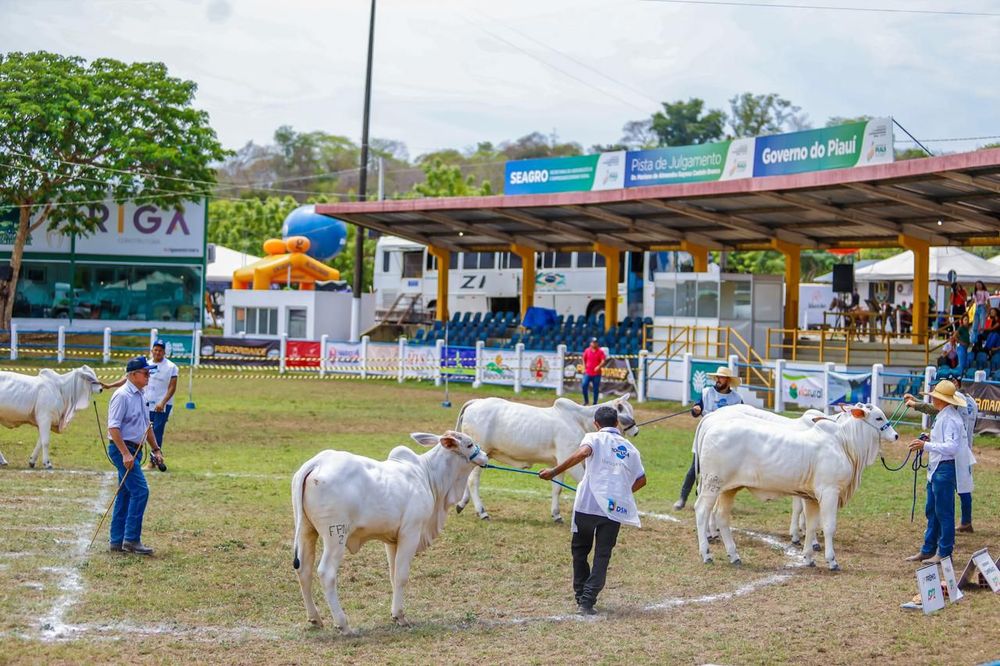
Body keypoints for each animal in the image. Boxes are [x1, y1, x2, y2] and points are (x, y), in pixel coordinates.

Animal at [290, 428, 488, 632]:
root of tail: (317, 462)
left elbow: (393, 575)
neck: (428, 475)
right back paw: (343, 624)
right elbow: (401, 576)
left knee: (304, 570)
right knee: (326, 573)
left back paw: (315, 618)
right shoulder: (411, 533)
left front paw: (395, 613)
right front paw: (400, 616)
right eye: (469, 444)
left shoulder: (392, 540)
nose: (485, 456)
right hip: (336, 535)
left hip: (306, 531)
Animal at [456, 394, 636, 520]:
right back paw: (482, 511)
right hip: (481, 453)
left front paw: (556, 514)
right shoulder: (571, 461)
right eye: (624, 412)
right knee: (473, 481)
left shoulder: (560, 462)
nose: (635, 431)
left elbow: (557, 489)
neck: (580, 421)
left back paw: (462, 504)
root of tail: (476, 402)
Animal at [696, 402, 900, 568]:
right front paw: (832, 560)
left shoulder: (811, 497)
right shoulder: (829, 492)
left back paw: (734, 555)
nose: (896, 435)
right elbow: (829, 526)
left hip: (729, 489)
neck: (843, 443)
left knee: (722, 517)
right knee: (702, 511)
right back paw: (707, 554)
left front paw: (808, 557)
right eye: (879, 417)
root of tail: (711, 423)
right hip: (712, 484)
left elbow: (811, 525)